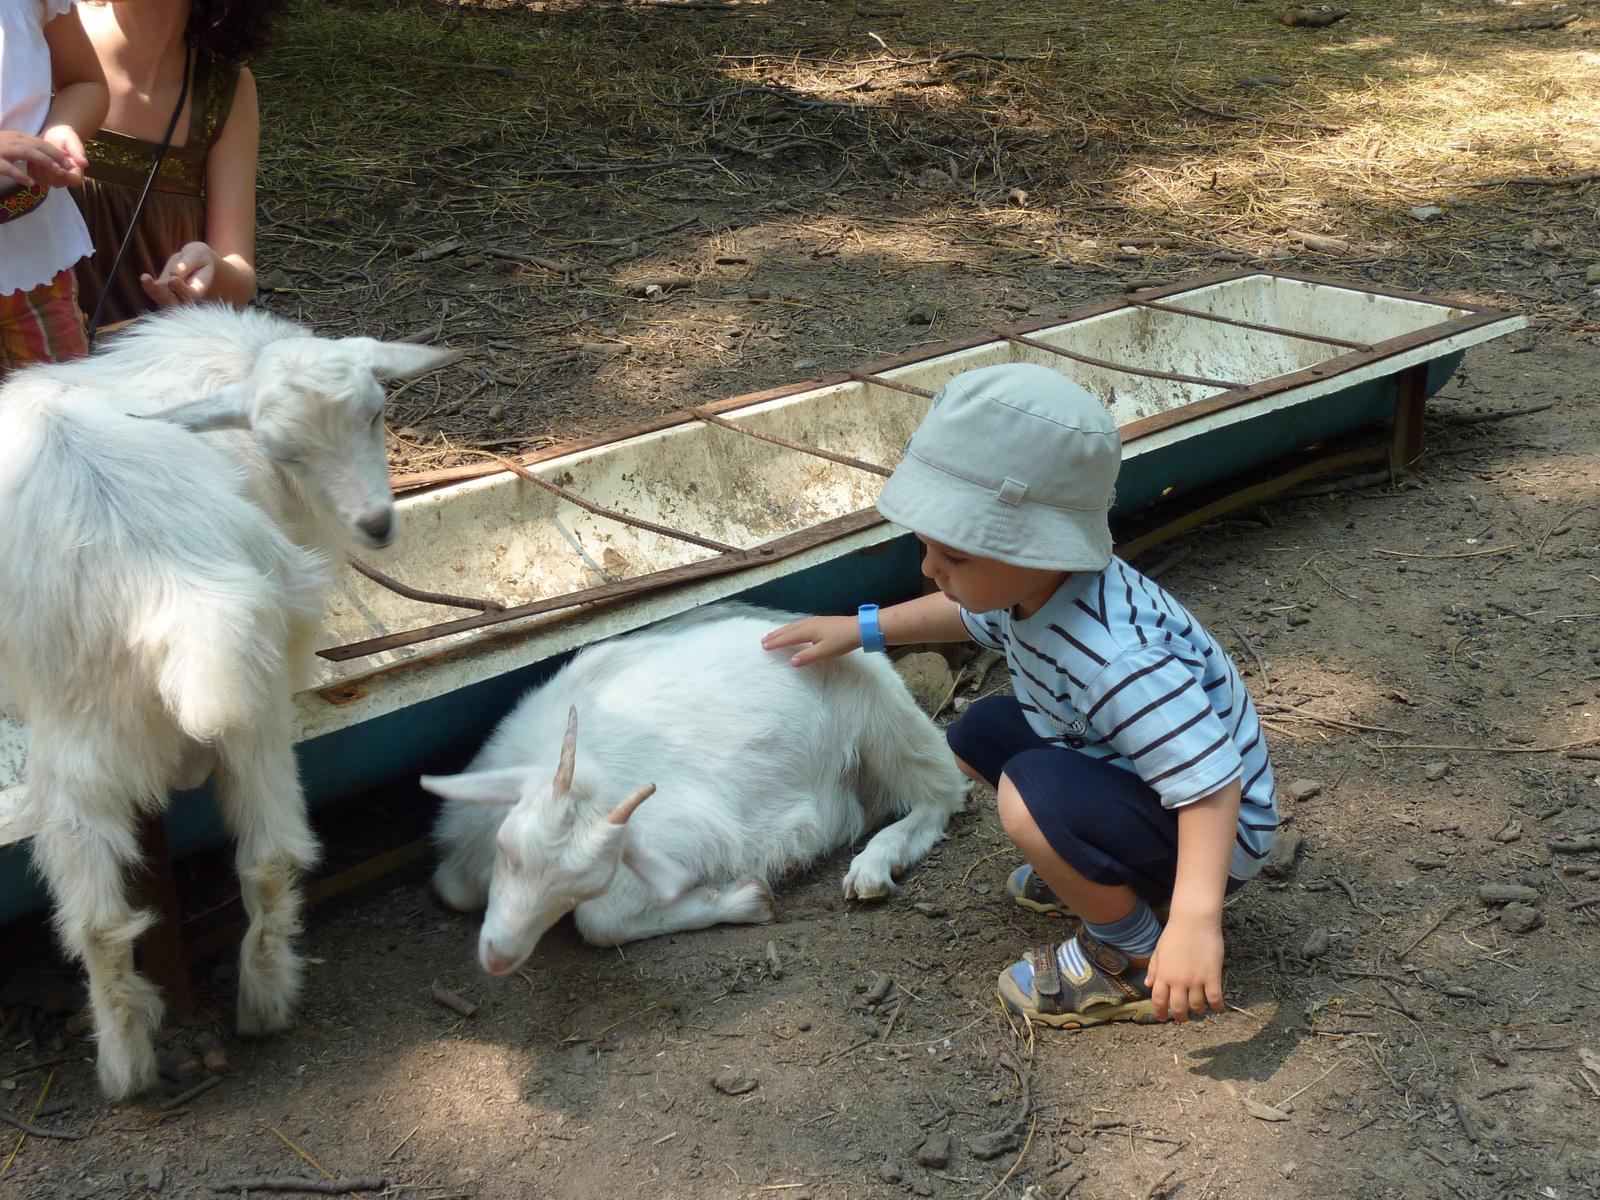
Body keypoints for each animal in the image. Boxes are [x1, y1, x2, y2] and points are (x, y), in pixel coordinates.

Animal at [0, 307, 457, 1100]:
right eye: (283, 449)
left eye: (376, 412)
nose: (375, 525)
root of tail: (166, 581)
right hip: (223, 706)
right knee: (245, 865)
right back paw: (231, 1015)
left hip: (90, 742)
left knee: (116, 916)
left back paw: (144, 1053)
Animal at [425, 611, 966, 979]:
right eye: (507, 849)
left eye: (587, 880)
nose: (499, 955)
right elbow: (450, 888)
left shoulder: (685, 835)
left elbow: (599, 921)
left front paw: (750, 899)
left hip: (887, 716)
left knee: (944, 791)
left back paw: (871, 868)